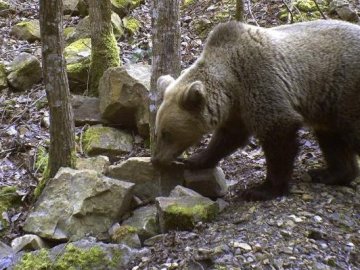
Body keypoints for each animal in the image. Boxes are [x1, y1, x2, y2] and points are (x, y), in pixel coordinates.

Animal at [151, 19, 360, 200]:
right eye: (158, 132)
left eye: (167, 133)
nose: (156, 159)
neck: (231, 84)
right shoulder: (237, 110)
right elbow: (228, 137)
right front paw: (195, 160)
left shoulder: (260, 82)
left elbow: (279, 133)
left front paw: (261, 190)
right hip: (328, 103)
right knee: (331, 137)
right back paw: (328, 173)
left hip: (346, 90)